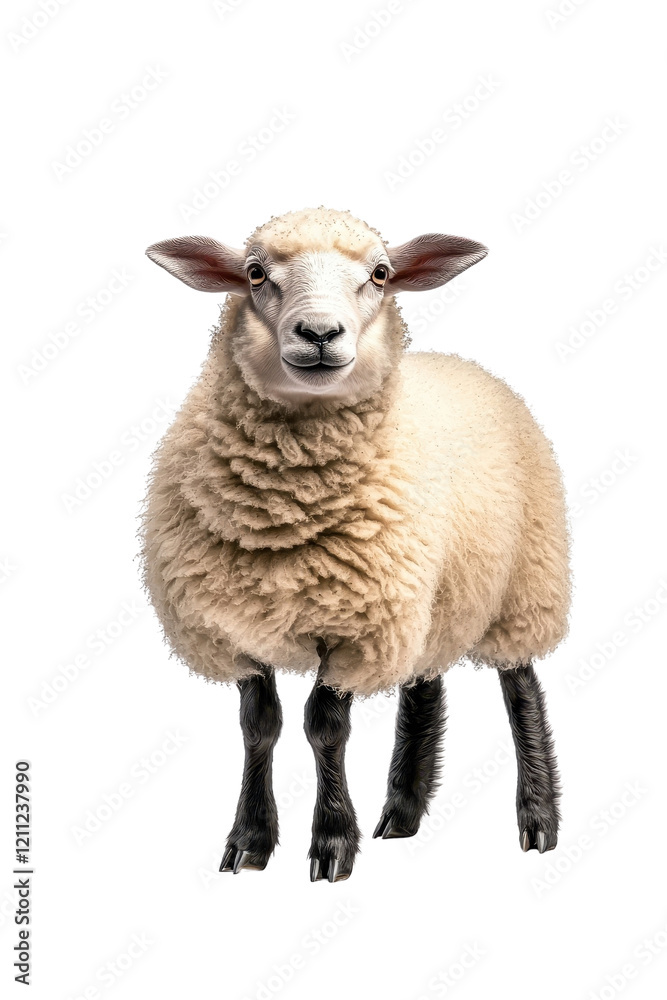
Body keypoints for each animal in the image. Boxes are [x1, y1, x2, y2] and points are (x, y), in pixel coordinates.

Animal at [142, 207, 571, 881]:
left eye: (381, 273)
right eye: (255, 273)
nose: (319, 333)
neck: (283, 514)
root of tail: (466, 364)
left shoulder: (356, 626)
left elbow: (325, 728)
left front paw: (332, 842)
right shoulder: (232, 627)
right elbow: (258, 725)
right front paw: (250, 839)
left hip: (526, 581)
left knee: (520, 686)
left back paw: (537, 820)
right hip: (431, 596)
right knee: (424, 684)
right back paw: (402, 813)